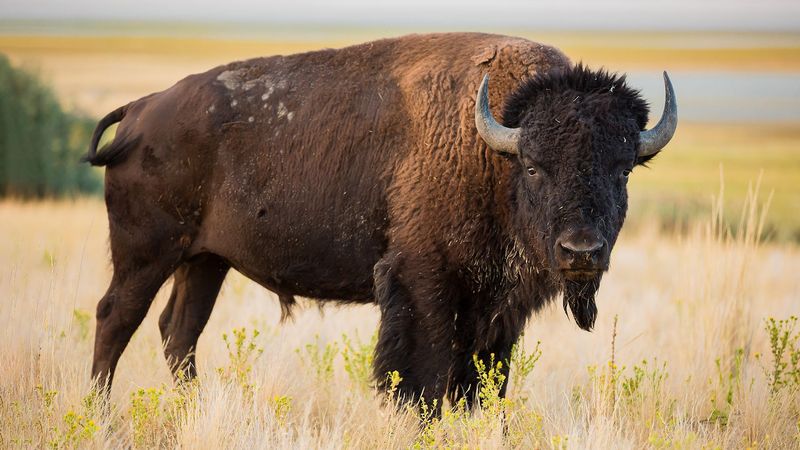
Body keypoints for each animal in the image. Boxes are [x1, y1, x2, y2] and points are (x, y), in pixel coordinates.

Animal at [86, 31, 676, 412]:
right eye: (533, 166)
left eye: (623, 169)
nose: (582, 251)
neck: (493, 150)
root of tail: (142, 109)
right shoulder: (423, 283)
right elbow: (423, 378)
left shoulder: (498, 308)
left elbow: (483, 383)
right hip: (147, 253)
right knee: (117, 318)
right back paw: (99, 413)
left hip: (206, 261)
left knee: (178, 332)